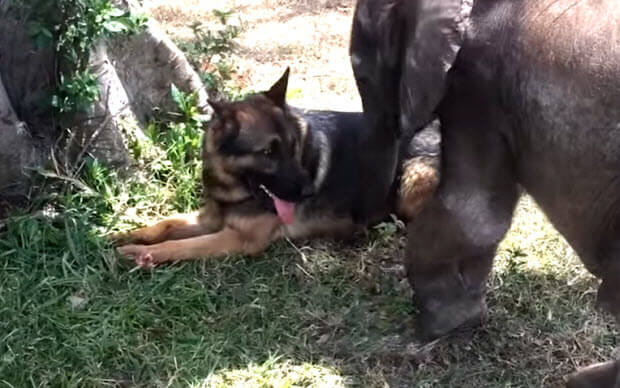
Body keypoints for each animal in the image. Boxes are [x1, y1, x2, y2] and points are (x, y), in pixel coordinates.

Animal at [115, 69, 436, 266]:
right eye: (268, 152)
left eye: (293, 146)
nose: (308, 193)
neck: (234, 187)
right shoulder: (211, 218)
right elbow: (166, 224)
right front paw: (126, 234)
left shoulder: (239, 239)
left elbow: (181, 246)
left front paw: (143, 254)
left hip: (411, 176)